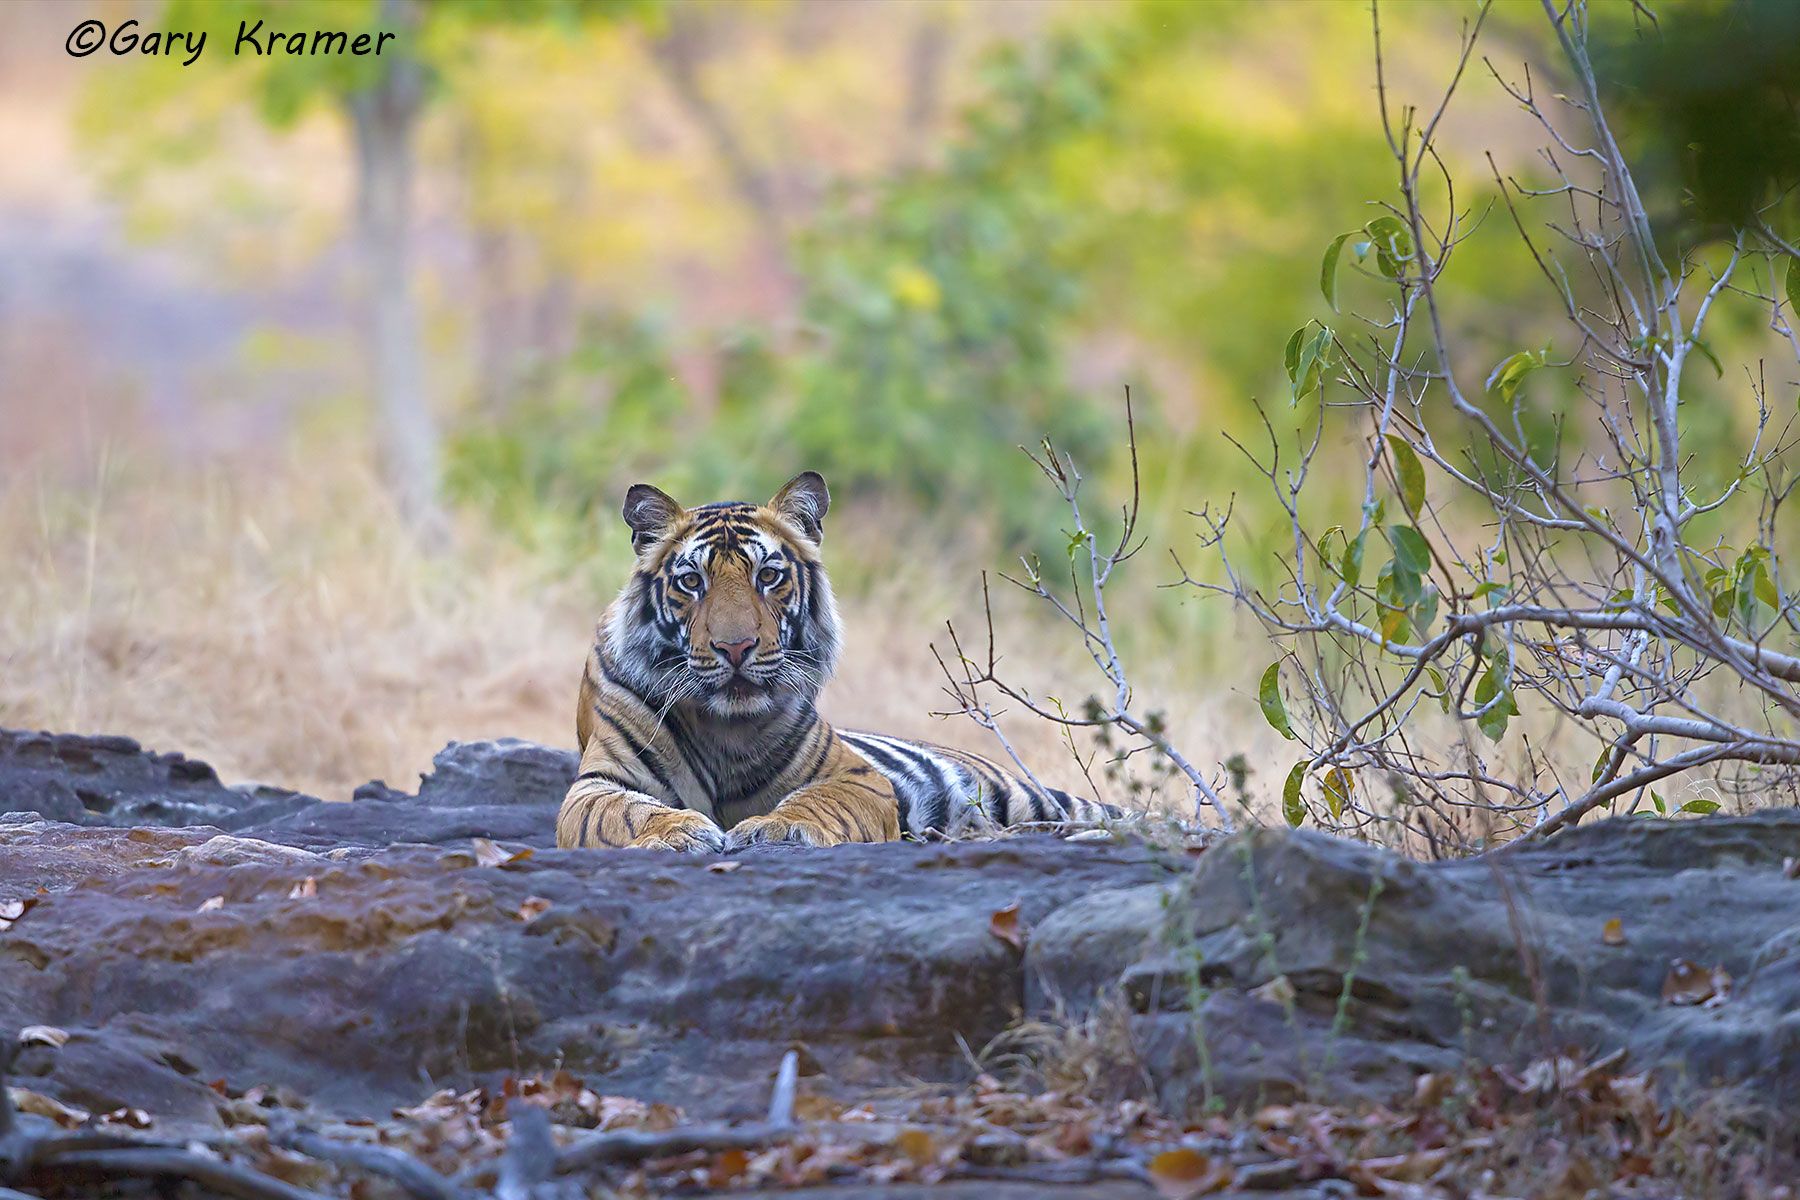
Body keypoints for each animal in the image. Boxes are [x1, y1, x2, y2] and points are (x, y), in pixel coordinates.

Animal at [554, 471, 1115, 851]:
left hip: (1031, 796)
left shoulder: (854, 775)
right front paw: (682, 831)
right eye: (692, 581)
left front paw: (774, 828)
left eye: (768, 576)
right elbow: (625, 813)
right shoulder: (597, 784)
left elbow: (816, 801)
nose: (735, 648)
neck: (724, 727)